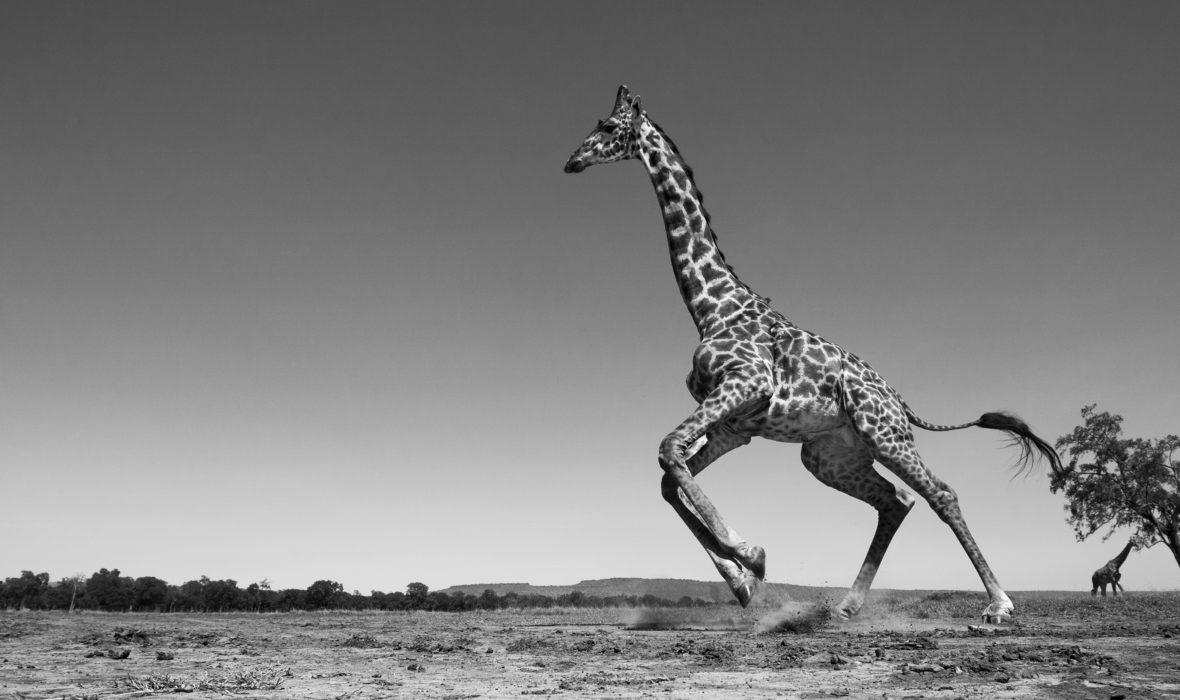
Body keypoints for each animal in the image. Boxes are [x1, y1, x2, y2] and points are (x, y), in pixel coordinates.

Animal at [563, 86, 1065, 623]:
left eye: (607, 126)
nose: (572, 161)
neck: (711, 306)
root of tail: (901, 401)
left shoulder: (746, 385)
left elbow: (667, 452)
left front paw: (752, 557)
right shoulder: (735, 426)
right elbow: (668, 478)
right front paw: (745, 580)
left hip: (883, 434)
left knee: (940, 494)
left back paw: (1000, 604)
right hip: (827, 454)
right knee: (896, 502)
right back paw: (845, 607)